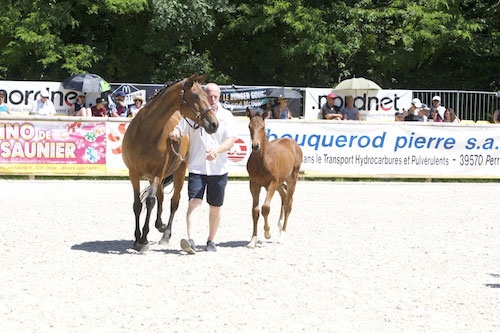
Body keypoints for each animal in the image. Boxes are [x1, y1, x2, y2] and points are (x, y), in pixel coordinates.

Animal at [122, 74, 218, 252]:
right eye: (195, 95)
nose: (214, 124)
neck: (146, 132)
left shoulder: (158, 172)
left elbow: (150, 202)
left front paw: (144, 238)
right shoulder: (134, 174)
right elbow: (138, 204)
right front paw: (137, 237)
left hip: (178, 171)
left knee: (174, 202)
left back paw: (165, 234)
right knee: (160, 197)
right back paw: (159, 224)